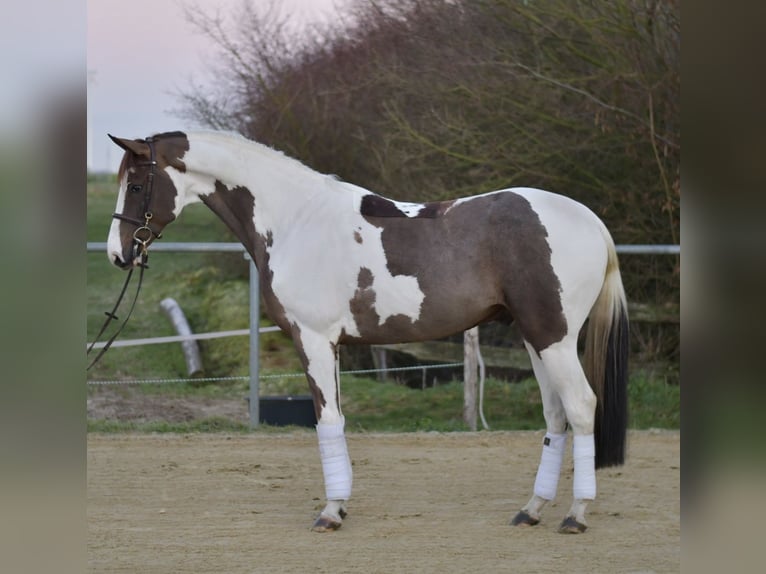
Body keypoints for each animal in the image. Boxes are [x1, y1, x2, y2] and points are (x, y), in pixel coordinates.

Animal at [104, 130, 629, 534]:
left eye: (137, 183)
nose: (117, 254)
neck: (296, 221)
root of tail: (591, 222)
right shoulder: (332, 345)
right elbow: (335, 422)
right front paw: (339, 506)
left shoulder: (313, 340)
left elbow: (327, 421)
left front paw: (330, 512)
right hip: (535, 338)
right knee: (555, 415)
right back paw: (531, 510)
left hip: (554, 337)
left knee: (581, 407)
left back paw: (576, 515)